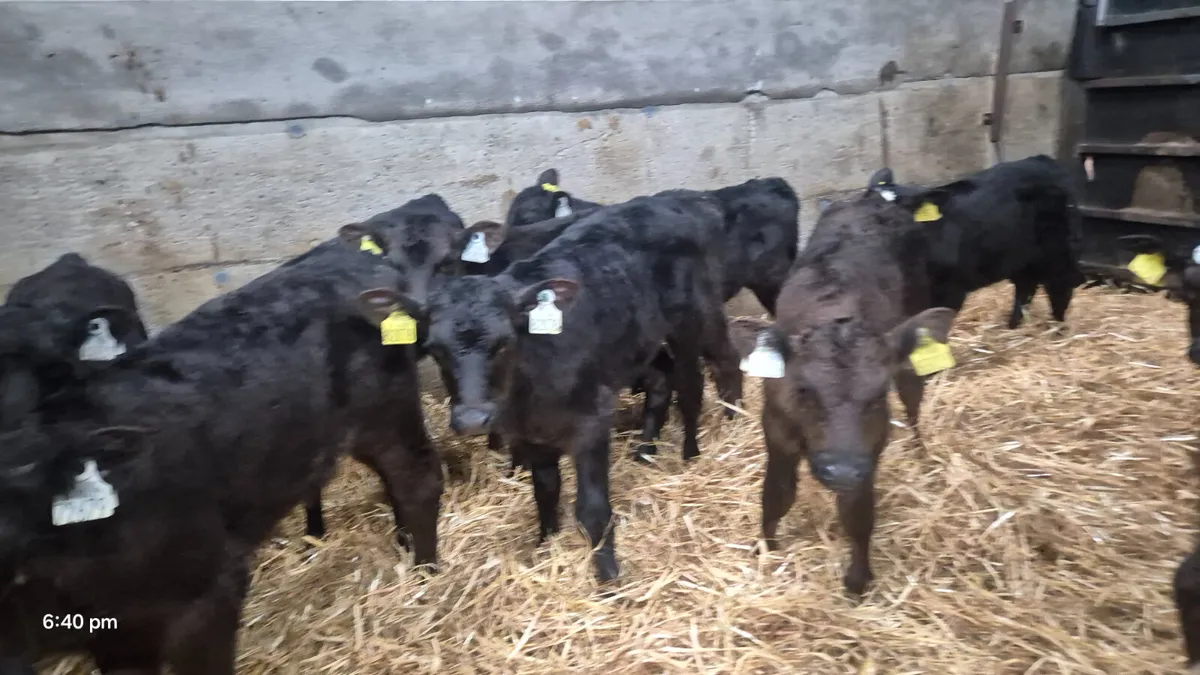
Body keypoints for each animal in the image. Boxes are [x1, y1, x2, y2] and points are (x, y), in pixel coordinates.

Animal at [0, 228, 444, 674]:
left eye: (47, 374)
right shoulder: (106, 633)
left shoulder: (208, 590)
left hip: (386, 412)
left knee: (416, 479)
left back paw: (425, 573)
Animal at [365, 191, 742, 582]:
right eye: (436, 348)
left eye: (504, 342)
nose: (471, 419)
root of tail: (681, 199)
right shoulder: (530, 433)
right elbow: (544, 490)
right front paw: (546, 545)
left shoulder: (592, 420)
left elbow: (593, 509)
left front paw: (608, 578)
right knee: (666, 377)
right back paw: (647, 448)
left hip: (695, 315)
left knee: (706, 373)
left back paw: (707, 441)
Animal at [729, 192, 955, 595]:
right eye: (804, 389)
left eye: (878, 395)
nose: (841, 469)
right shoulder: (775, 424)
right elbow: (776, 493)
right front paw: (765, 550)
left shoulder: (869, 446)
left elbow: (858, 512)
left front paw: (857, 580)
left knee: (913, 397)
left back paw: (921, 452)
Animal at [868, 155, 1083, 330]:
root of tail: (1043, 160)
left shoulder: (949, 290)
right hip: (1021, 259)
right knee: (1025, 288)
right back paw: (1012, 327)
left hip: (1057, 251)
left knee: (1060, 288)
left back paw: (1057, 329)